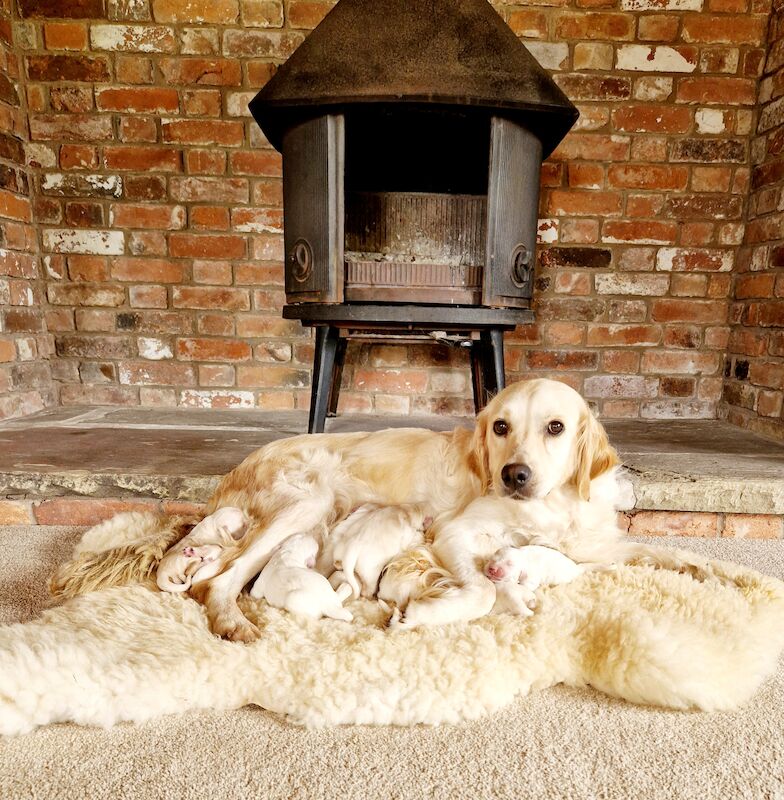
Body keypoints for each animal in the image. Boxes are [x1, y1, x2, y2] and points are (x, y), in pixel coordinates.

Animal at [53, 378, 716, 640]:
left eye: (555, 427)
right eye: (501, 427)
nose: (514, 475)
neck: (551, 505)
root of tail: (234, 472)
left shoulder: (592, 544)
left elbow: (650, 548)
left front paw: (701, 567)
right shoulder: (455, 535)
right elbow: (481, 587)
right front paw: (436, 611)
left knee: (208, 566)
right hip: (306, 503)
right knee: (218, 582)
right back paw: (233, 620)